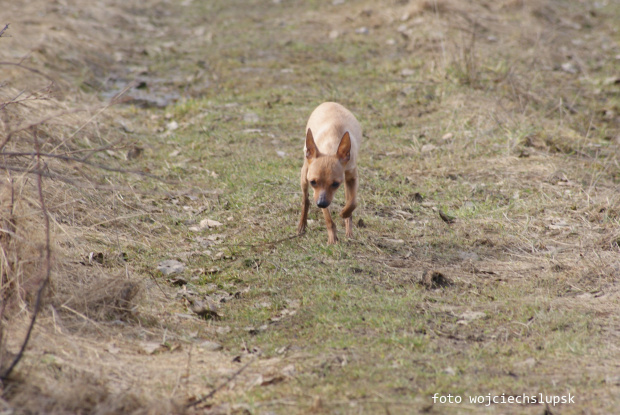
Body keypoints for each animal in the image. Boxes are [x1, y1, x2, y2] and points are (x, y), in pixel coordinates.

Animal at [296, 102, 360, 244]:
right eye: (313, 182)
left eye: (335, 184)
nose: (321, 203)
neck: (330, 149)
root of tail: (329, 102)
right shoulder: (319, 193)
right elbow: (328, 218)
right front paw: (332, 238)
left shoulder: (351, 178)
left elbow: (353, 202)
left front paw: (344, 213)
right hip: (304, 175)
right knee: (305, 200)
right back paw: (302, 225)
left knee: (348, 199)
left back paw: (349, 229)